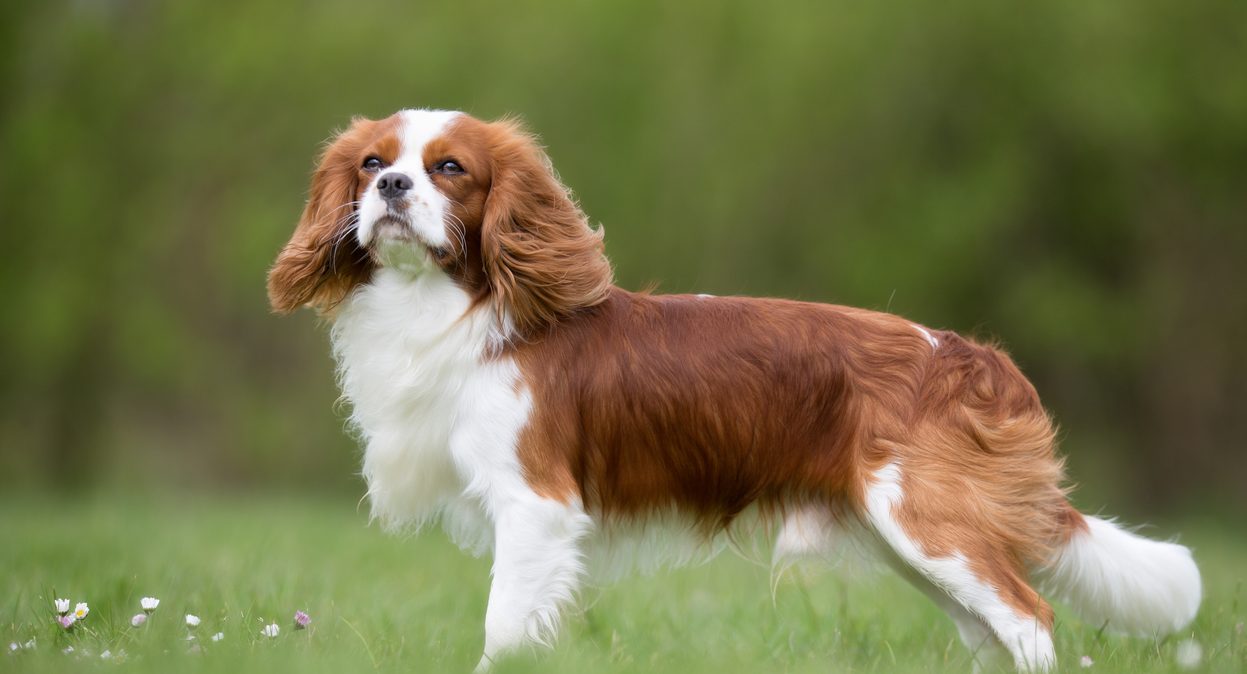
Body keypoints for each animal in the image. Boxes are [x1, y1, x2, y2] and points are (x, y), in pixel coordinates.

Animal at [268, 107, 1202, 669]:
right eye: (372, 163)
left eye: (450, 169)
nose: (391, 187)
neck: (453, 307)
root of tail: (974, 359)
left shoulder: (534, 508)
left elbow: (502, 629)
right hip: (916, 543)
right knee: (990, 629)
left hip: (928, 522)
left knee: (1029, 618)